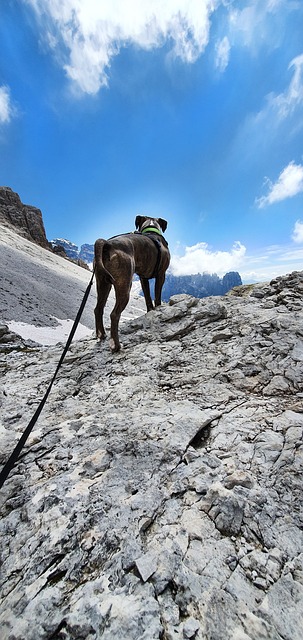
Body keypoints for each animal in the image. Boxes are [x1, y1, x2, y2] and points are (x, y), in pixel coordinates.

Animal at [95, 218, 171, 352]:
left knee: (98, 309)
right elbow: (157, 297)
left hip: (103, 284)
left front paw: (151, 311)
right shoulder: (161, 275)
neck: (151, 229)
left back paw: (102, 335)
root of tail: (107, 244)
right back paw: (116, 345)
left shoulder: (143, 278)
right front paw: (158, 309)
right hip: (124, 287)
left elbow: (148, 298)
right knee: (114, 315)